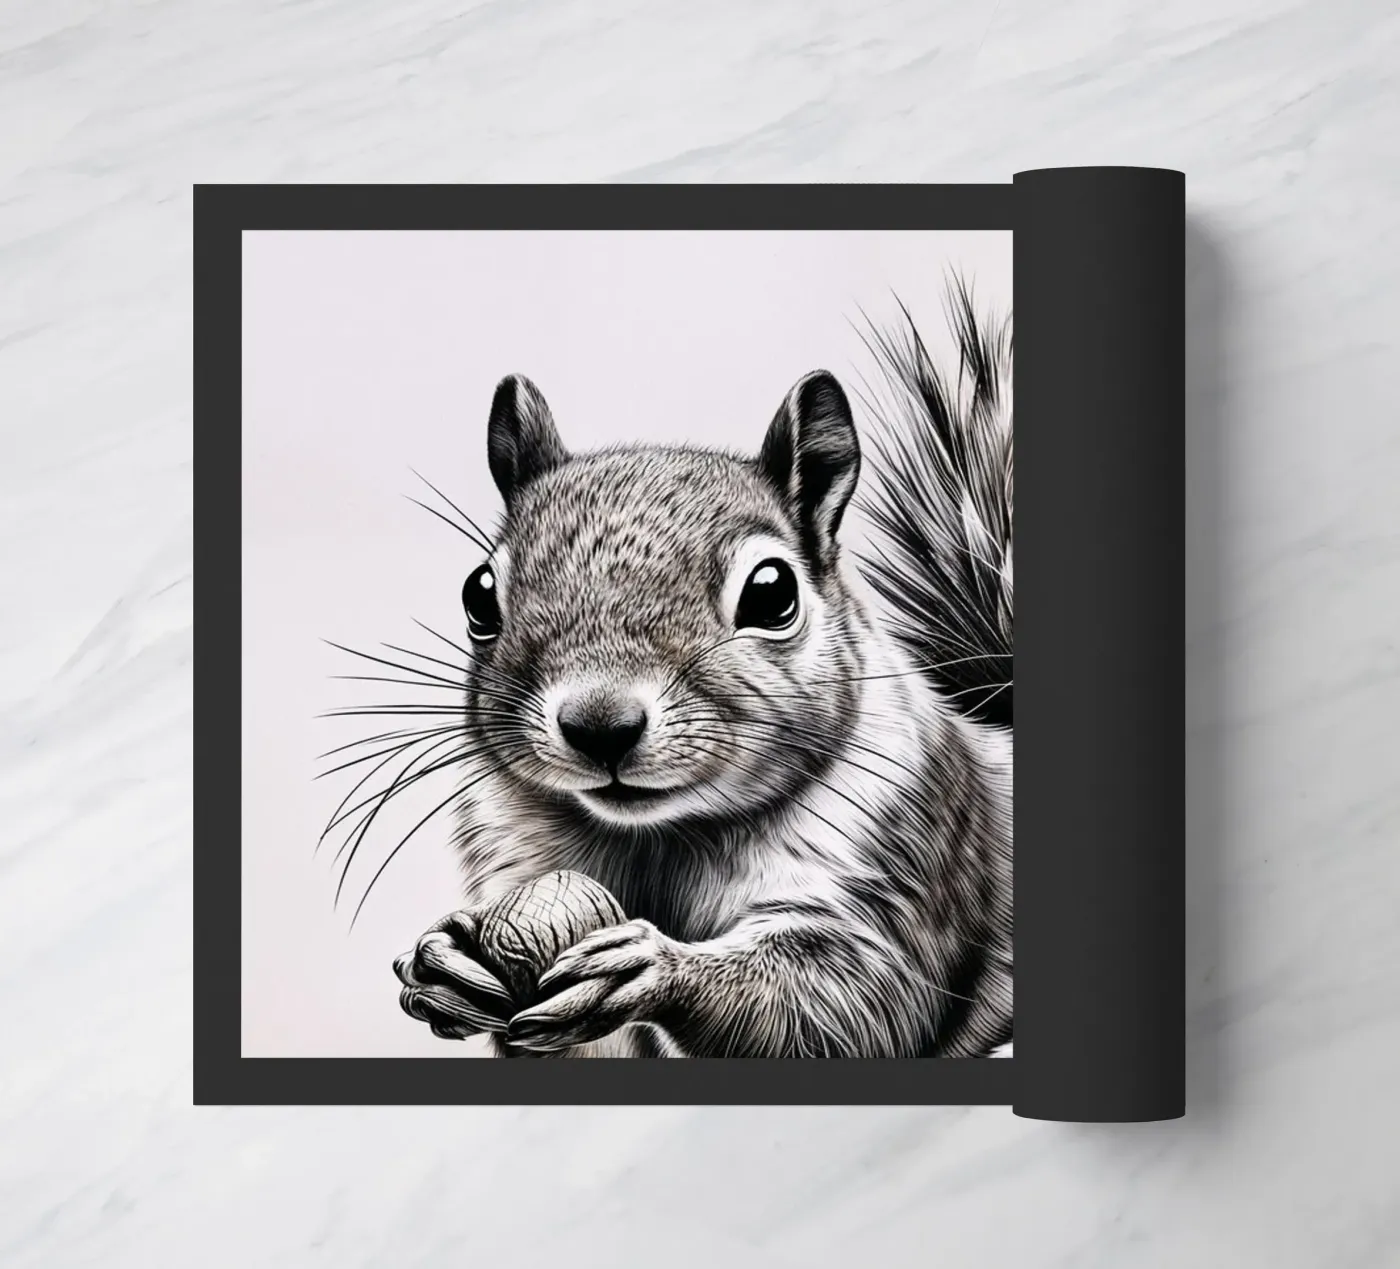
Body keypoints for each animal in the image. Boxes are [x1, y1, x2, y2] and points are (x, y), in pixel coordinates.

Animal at [391, 289, 1013, 1059]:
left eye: (774, 592)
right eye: (478, 595)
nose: (601, 725)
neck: (662, 838)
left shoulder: (900, 856)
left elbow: (854, 1004)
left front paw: (653, 968)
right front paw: (448, 953)